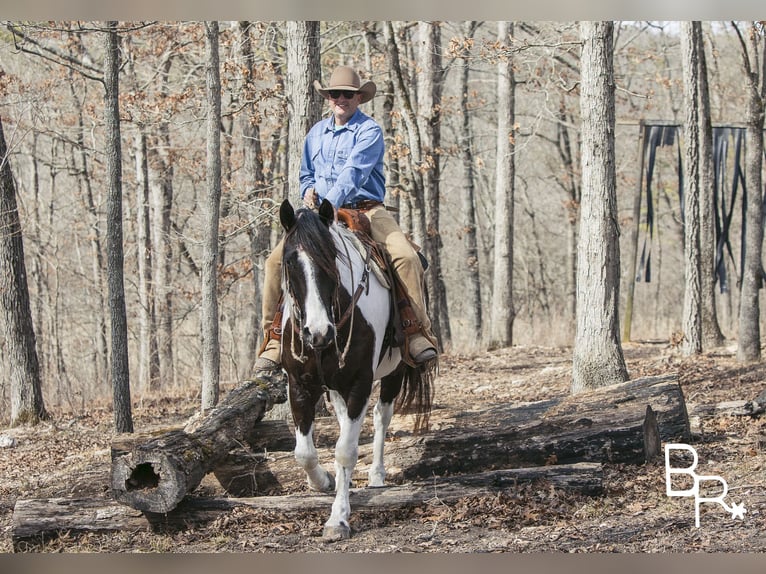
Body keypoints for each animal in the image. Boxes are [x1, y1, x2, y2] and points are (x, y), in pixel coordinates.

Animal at [278, 200, 436, 544]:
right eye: (289, 261)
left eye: (332, 259)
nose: (318, 332)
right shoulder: (299, 385)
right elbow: (304, 453)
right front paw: (323, 482)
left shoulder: (359, 384)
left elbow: (346, 451)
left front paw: (338, 519)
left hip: (394, 373)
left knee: (380, 417)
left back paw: (376, 474)